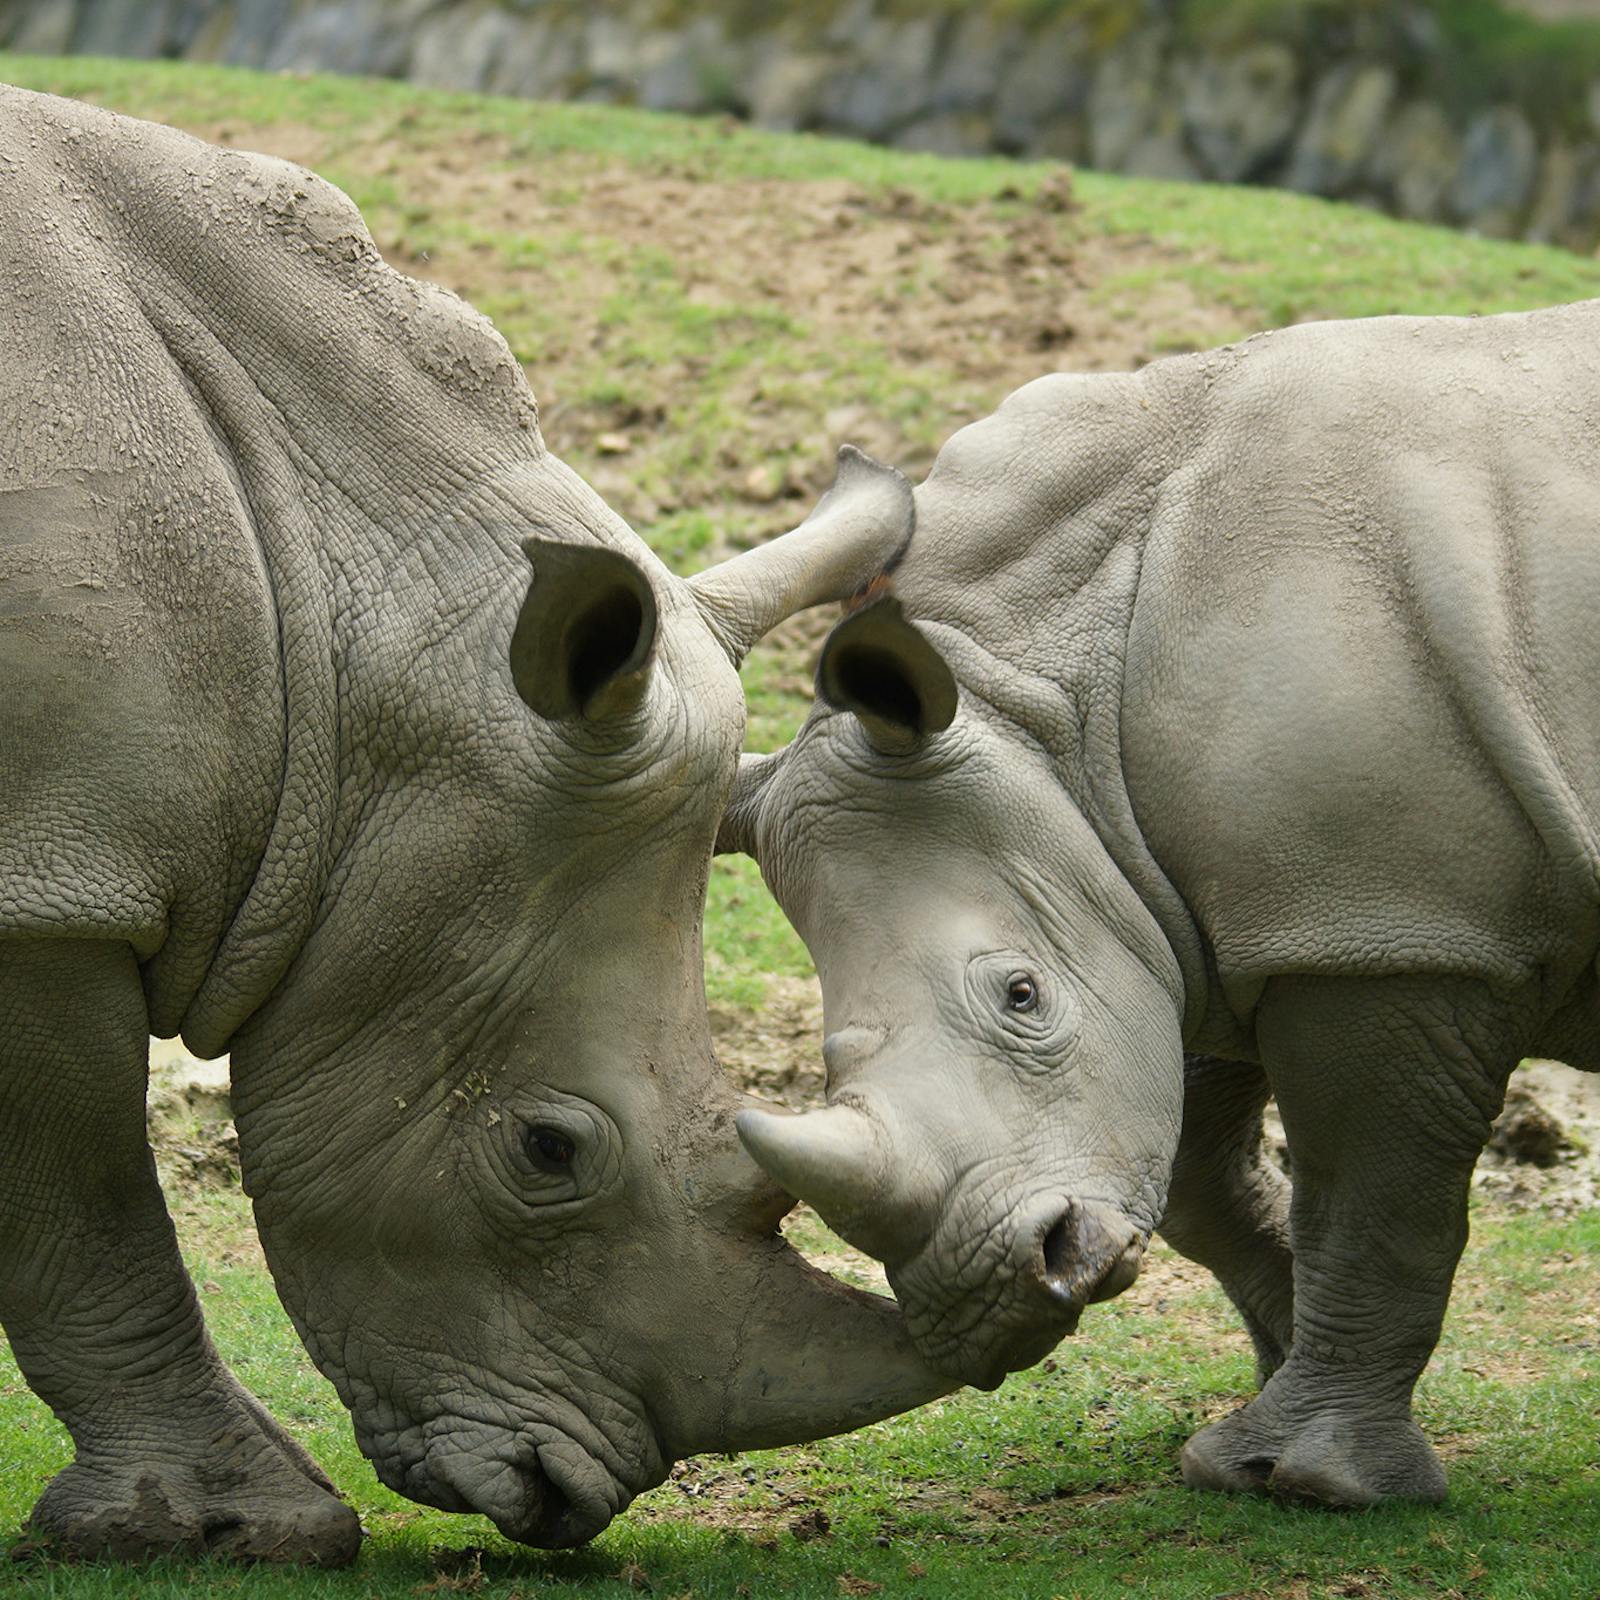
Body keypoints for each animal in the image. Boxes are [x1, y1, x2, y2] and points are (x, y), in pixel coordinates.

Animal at [725, 301, 1600, 1508]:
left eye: (1021, 996)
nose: (990, 1297)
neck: (1045, 703)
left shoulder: (1390, 933)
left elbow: (1371, 1204)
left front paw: (1312, 1480)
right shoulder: (1213, 914)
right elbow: (1200, 1177)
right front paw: (1251, 1424)